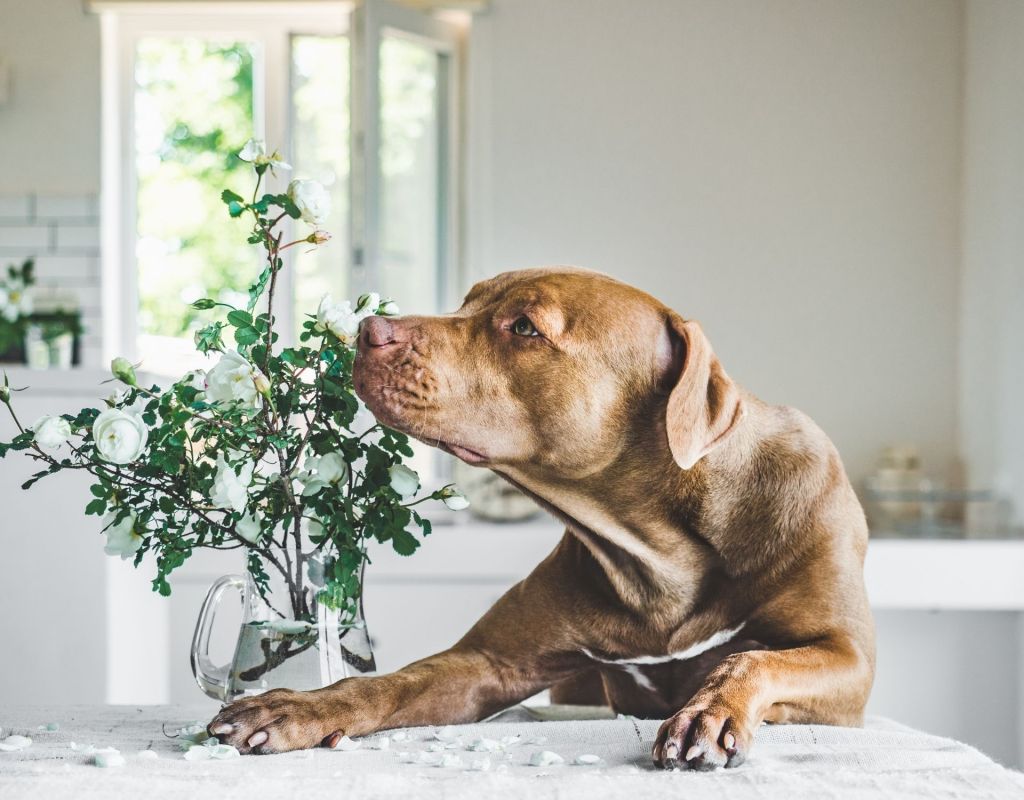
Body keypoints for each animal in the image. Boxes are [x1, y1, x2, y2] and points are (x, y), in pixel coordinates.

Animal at [207, 268, 872, 766]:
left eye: (525, 327)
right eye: (468, 302)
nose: (369, 327)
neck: (662, 550)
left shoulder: (848, 659)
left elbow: (754, 657)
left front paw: (710, 711)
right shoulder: (488, 664)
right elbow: (387, 682)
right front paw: (299, 706)